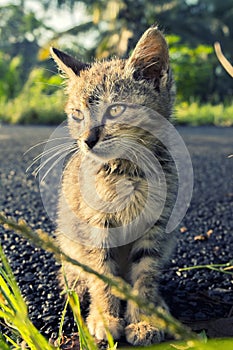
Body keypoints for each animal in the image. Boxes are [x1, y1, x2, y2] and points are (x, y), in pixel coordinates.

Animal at [50, 26, 176, 346]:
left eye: (116, 110)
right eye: (78, 114)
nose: (87, 140)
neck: (127, 170)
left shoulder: (157, 225)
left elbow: (146, 273)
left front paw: (143, 319)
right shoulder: (95, 224)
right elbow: (101, 273)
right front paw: (105, 318)